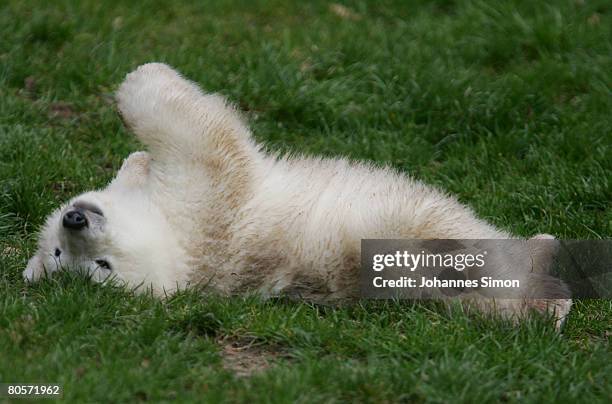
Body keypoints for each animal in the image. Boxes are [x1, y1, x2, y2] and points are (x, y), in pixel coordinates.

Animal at [21, 64, 572, 328]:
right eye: (101, 268)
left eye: (56, 252)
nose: (74, 221)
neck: (178, 243)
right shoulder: (209, 206)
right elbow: (206, 140)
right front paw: (144, 79)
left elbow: (146, 162)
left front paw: (133, 159)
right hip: (412, 243)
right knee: (468, 257)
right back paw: (547, 287)